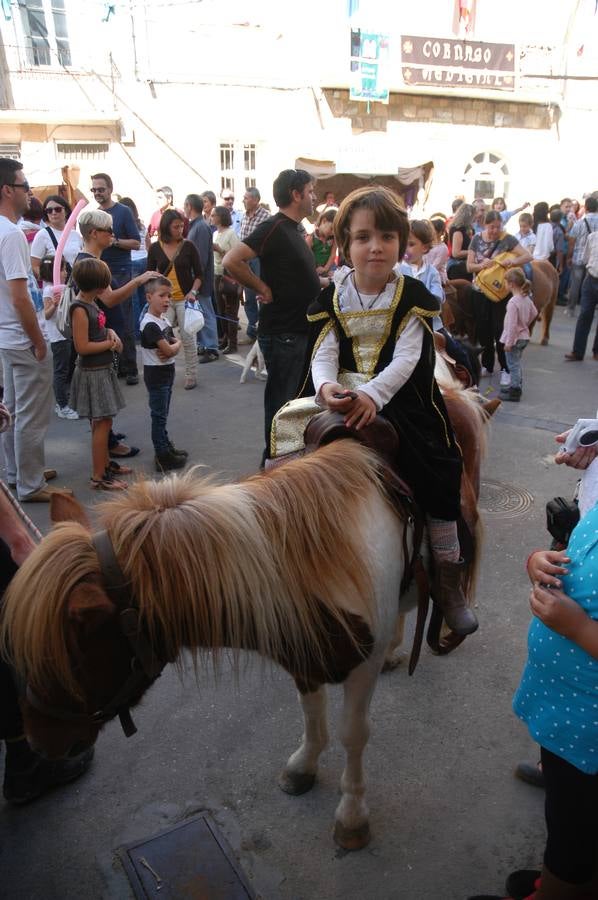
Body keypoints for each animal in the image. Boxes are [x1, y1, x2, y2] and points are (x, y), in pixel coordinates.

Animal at [1, 394, 492, 852]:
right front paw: (303, 766)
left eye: (73, 646)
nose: (41, 742)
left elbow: (354, 735)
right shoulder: (303, 654)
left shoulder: (358, 668)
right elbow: (311, 714)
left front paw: (352, 815)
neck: (313, 555)